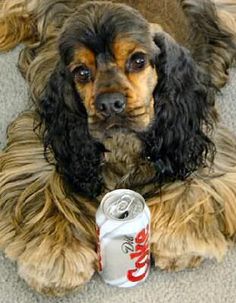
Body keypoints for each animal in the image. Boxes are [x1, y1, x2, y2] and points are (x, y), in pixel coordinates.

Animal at [0, 0, 236, 298]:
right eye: (81, 72)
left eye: (138, 60)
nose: (110, 104)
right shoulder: (43, 143)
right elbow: (48, 191)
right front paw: (58, 258)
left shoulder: (195, 136)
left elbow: (194, 187)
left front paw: (181, 244)